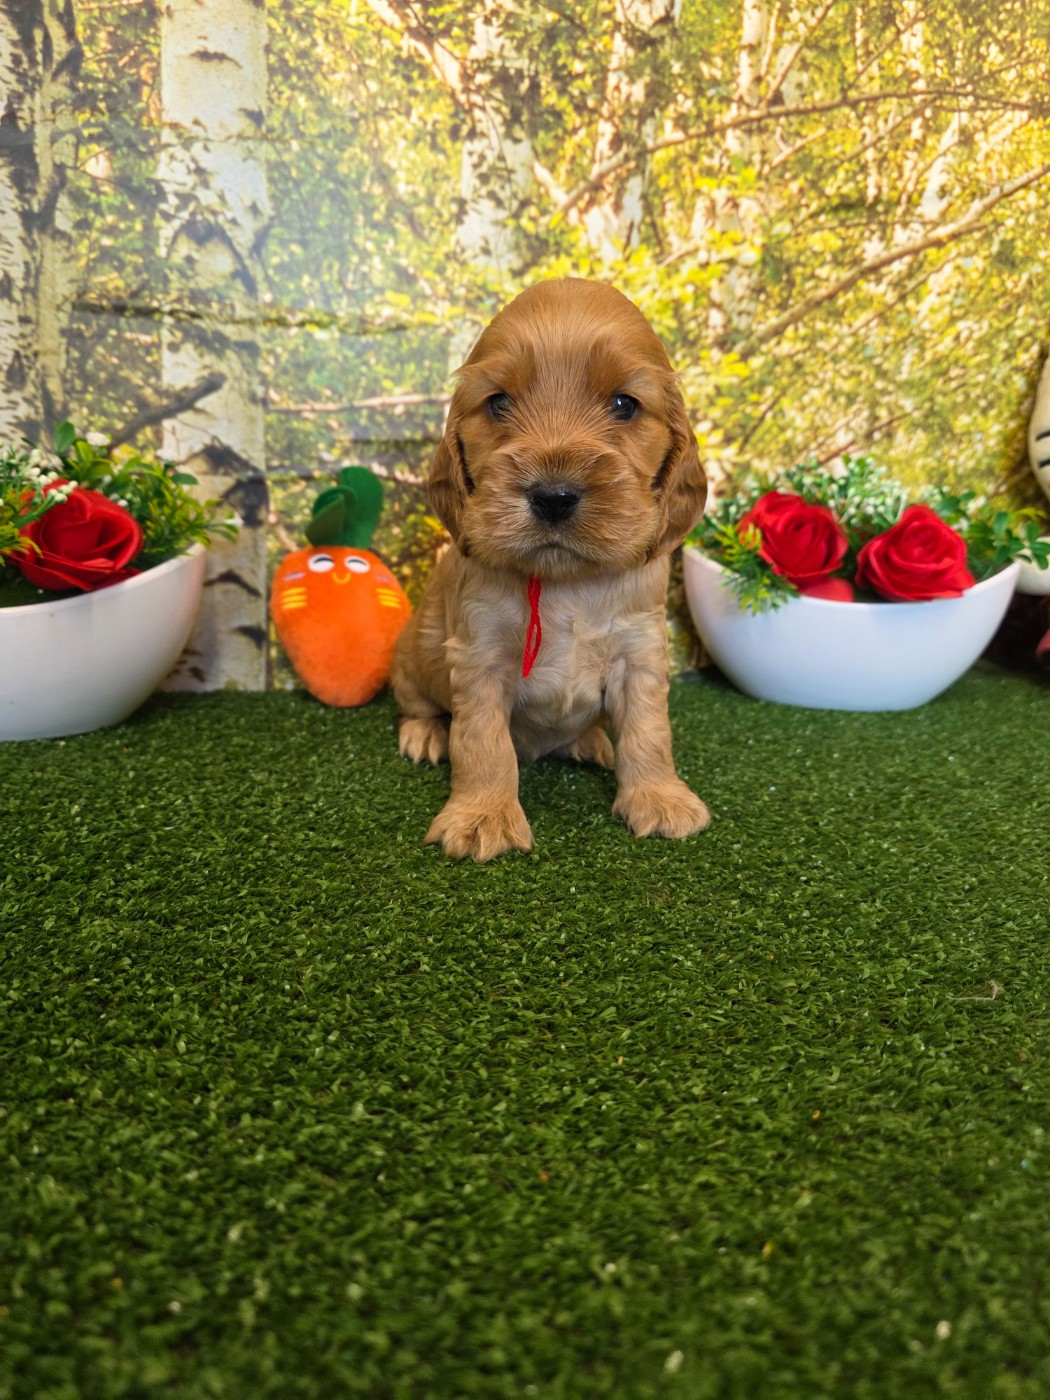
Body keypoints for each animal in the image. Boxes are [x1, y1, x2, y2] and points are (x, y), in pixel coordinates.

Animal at [391, 277, 710, 861]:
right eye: (498, 403)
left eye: (624, 404)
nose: (553, 496)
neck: (567, 582)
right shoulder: (480, 656)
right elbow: (483, 742)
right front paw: (483, 817)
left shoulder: (641, 652)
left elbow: (650, 731)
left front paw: (660, 798)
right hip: (409, 656)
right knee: (419, 704)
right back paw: (425, 734)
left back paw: (589, 739)